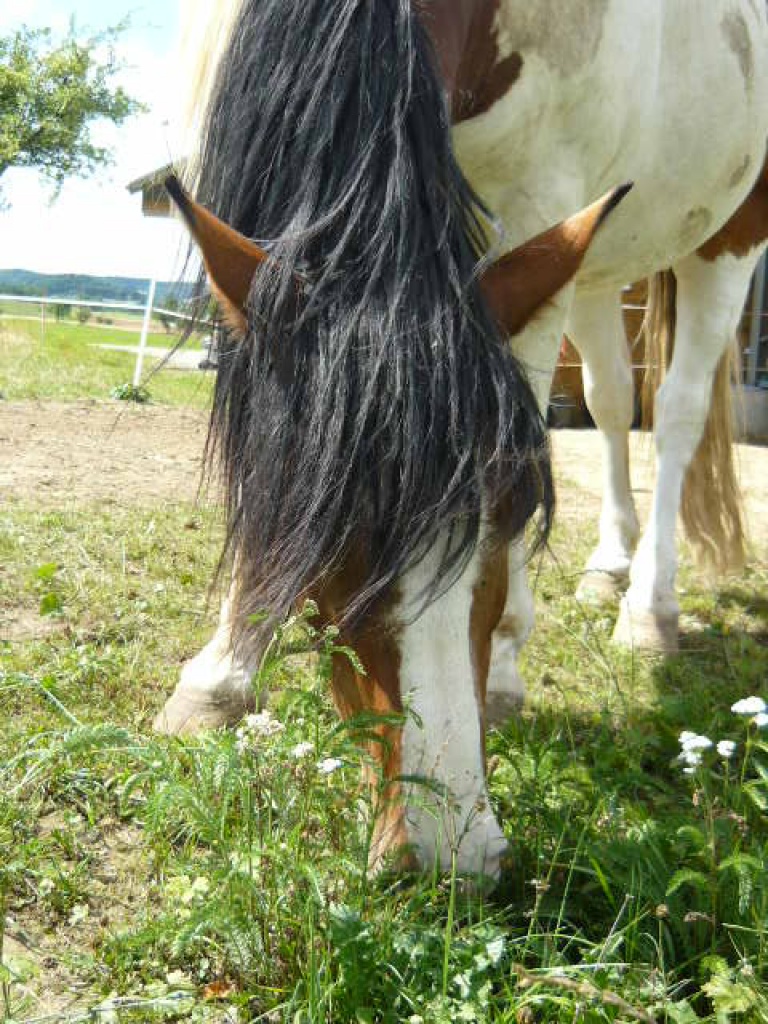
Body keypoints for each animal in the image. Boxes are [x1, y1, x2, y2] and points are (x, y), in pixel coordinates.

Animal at [156, 0, 768, 880]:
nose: (451, 849)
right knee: (613, 399)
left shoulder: (542, 200)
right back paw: (608, 567)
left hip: (730, 236)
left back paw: (648, 612)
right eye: (325, 537)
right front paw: (222, 674)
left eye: (513, 513)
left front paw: (506, 660)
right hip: (598, 262)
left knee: (678, 411)